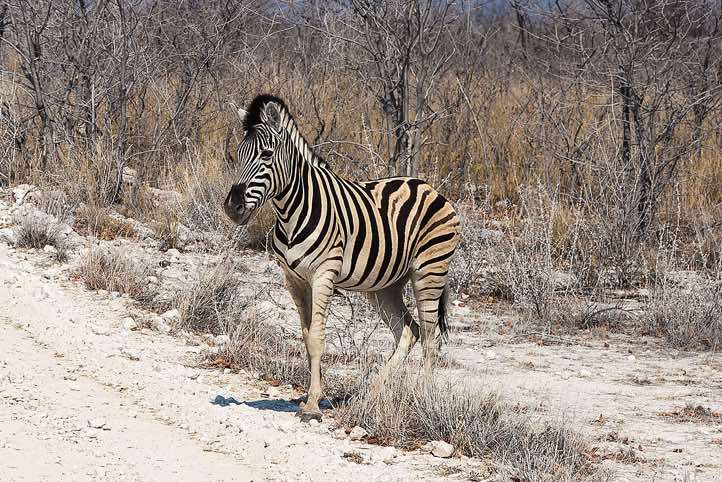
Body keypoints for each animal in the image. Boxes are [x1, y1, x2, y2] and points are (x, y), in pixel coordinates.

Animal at [224, 94, 460, 421]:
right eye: (238, 154)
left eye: (267, 154)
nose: (232, 207)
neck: (292, 211)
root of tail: (427, 186)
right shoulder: (294, 279)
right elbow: (307, 337)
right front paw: (313, 396)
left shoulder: (324, 274)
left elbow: (317, 338)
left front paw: (312, 406)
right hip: (385, 286)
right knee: (409, 331)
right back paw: (369, 396)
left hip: (429, 270)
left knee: (431, 336)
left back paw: (425, 399)